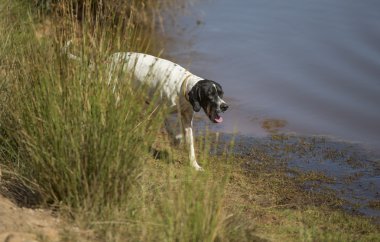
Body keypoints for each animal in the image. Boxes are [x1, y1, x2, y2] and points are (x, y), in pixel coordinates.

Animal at [63, 42, 227, 170]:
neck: (182, 85)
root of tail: (106, 60)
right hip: (113, 93)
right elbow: (167, 127)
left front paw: (194, 165)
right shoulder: (157, 110)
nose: (225, 106)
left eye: (221, 93)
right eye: (210, 95)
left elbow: (190, 144)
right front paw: (175, 139)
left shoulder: (186, 119)